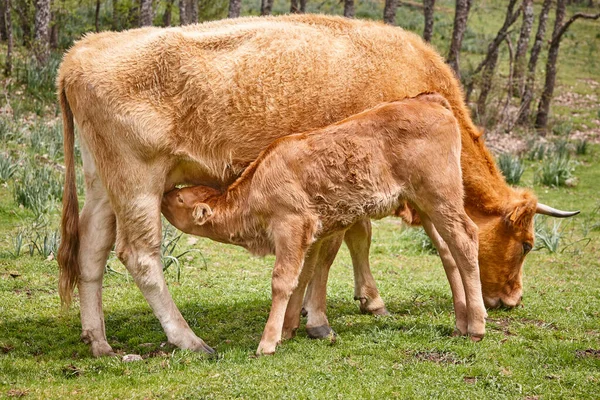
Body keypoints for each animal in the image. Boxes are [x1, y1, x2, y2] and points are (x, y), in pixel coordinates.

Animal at [161, 94, 488, 356]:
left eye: (179, 198)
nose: (163, 194)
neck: (258, 185)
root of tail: (429, 101)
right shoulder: (310, 236)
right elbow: (303, 275)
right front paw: (289, 329)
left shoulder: (291, 227)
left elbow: (283, 280)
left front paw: (268, 342)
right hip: (426, 207)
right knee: (448, 252)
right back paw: (461, 323)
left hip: (441, 198)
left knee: (466, 239)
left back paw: (477, 327)